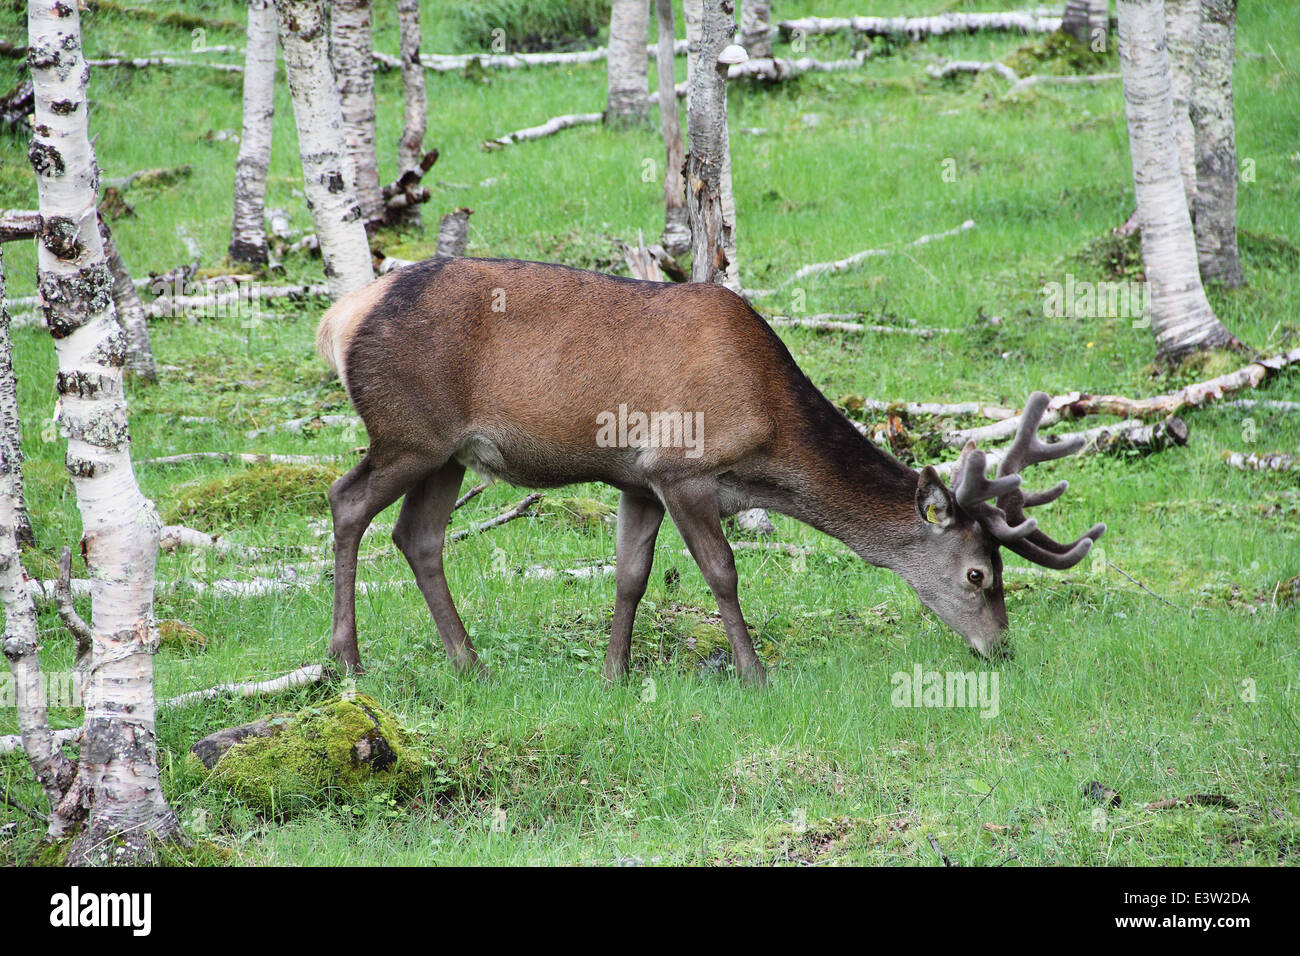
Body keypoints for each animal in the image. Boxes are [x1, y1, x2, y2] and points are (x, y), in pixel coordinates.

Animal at [319, 257, 1102, 686]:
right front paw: (755, 673)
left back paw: (470, 663)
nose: (1001, 649)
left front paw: (613, 675)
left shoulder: (636, 481)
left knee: (418, 536)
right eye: (978, 574)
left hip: (448, 453)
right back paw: (348, 662)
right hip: (407, 431)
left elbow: (631, 577)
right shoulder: (680, 468)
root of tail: (338, 317)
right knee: (345, 501)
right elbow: (723, 572)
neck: (765, 441)